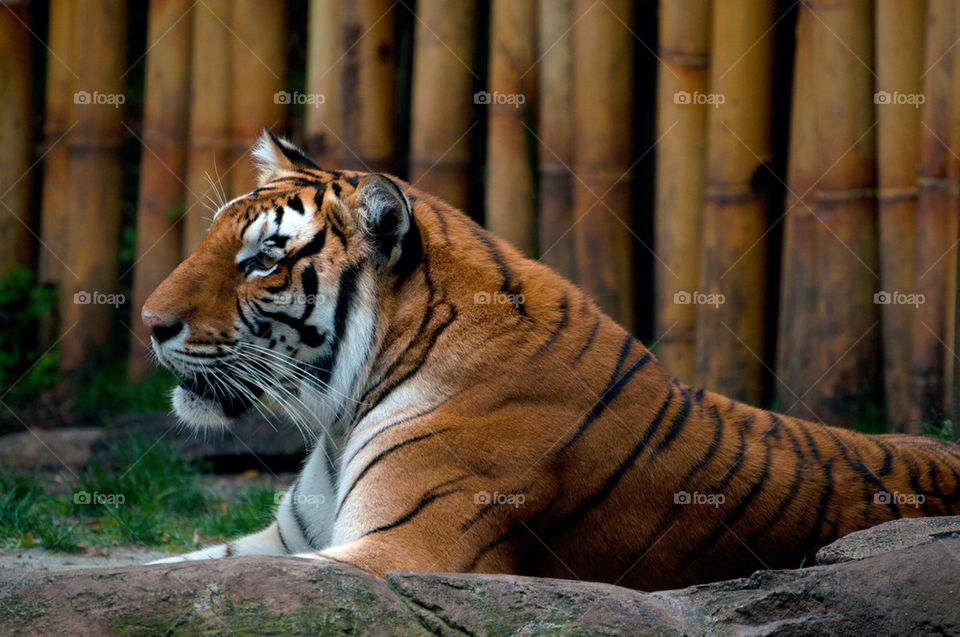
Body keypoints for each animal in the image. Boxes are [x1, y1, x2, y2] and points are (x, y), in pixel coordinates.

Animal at [143, 129, 960, 591]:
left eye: (262, 261)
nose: (149, 322)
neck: (345, 417)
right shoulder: (281, 538)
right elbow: (157, 569)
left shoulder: (408, 547)